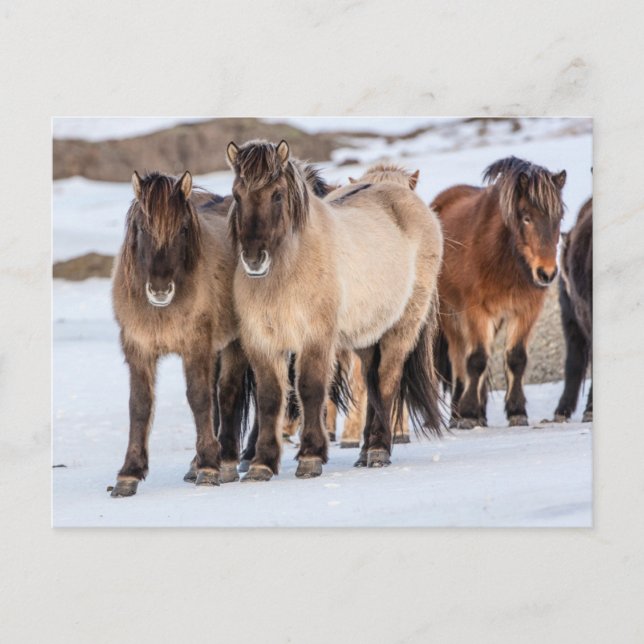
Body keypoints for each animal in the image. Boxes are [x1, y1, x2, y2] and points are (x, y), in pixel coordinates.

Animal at [110, 171, 250, 496]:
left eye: (183, 229)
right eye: (142, 227)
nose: (160, 290)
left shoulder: (195, 347)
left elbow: (199, 399)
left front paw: (209, 468)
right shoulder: (139, 349)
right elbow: (139, 405)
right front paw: (129, 473)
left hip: (234, 343)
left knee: (227, 394)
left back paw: (225, 461)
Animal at [226, 139, 443, 481]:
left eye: (277, 194)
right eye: (237, 195)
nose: (254, 259)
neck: (290, 268)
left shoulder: (316, 338)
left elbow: (310, 389)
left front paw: (311, 456)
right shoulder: (262, 342)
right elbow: (270, 399)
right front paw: (262, 463)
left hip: (401, 327)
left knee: (387, 381)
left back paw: (379, 449)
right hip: (367, 336)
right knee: (371, 382)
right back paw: (366, 451)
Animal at [431, 156, 566, 429]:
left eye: (559, 217)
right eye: (526, 217)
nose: (546, 273)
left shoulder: (526, 311)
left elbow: (516, 358)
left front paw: (516, 411)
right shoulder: (475, 312)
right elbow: (476, 360)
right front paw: (468, 412)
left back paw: (481, 414)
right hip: (451, 316)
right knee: (459, 359)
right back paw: (458, 414)